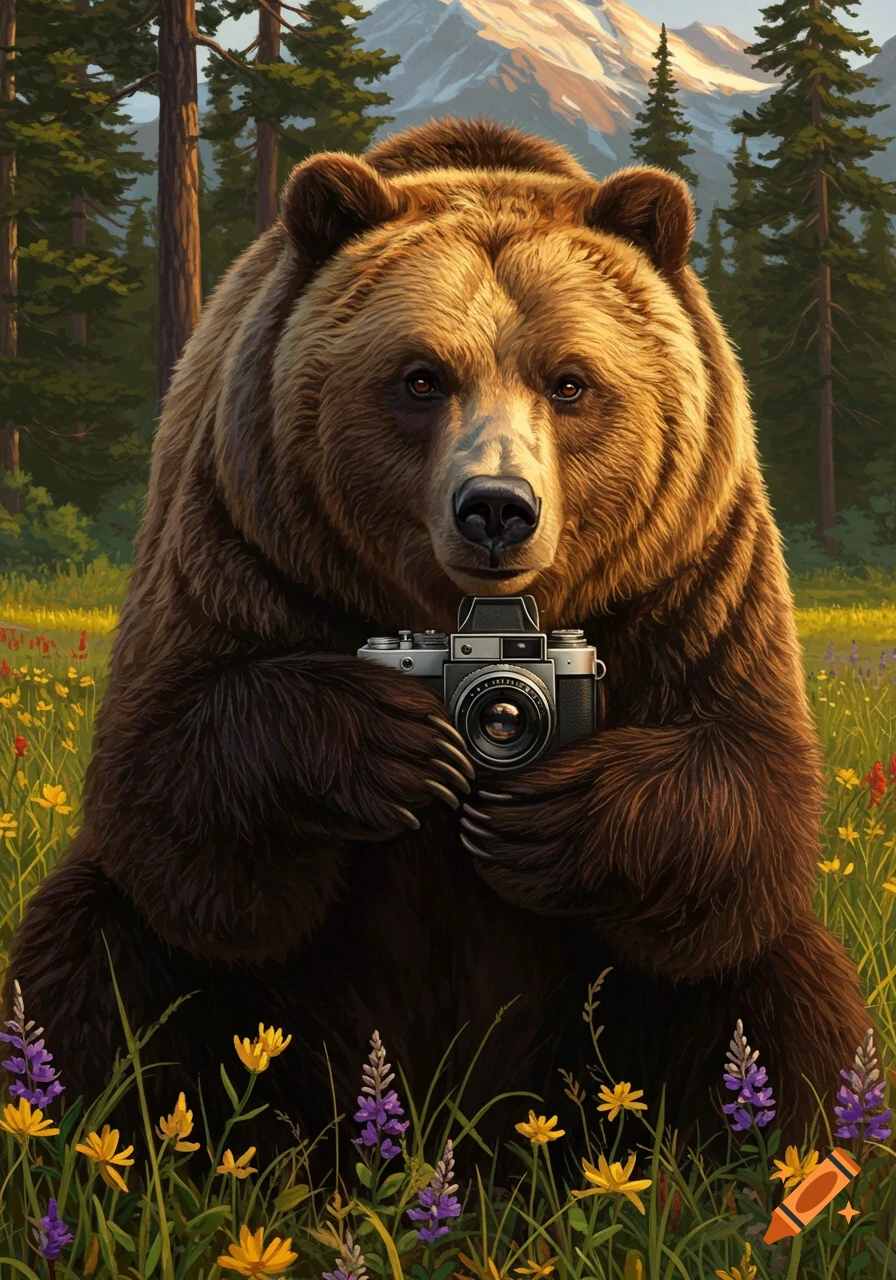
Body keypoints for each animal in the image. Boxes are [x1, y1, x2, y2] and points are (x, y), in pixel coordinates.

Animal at [4, 116, 869, 1176]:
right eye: (421, 377)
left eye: (570, 382)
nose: (497, 507)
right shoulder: (236, 533)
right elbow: (166, 795)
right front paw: (390, 744)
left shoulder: (692, 569)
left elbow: (751, 779)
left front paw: (545, 816)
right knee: (91, 956)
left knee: (786, 991)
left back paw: (761, 1166)